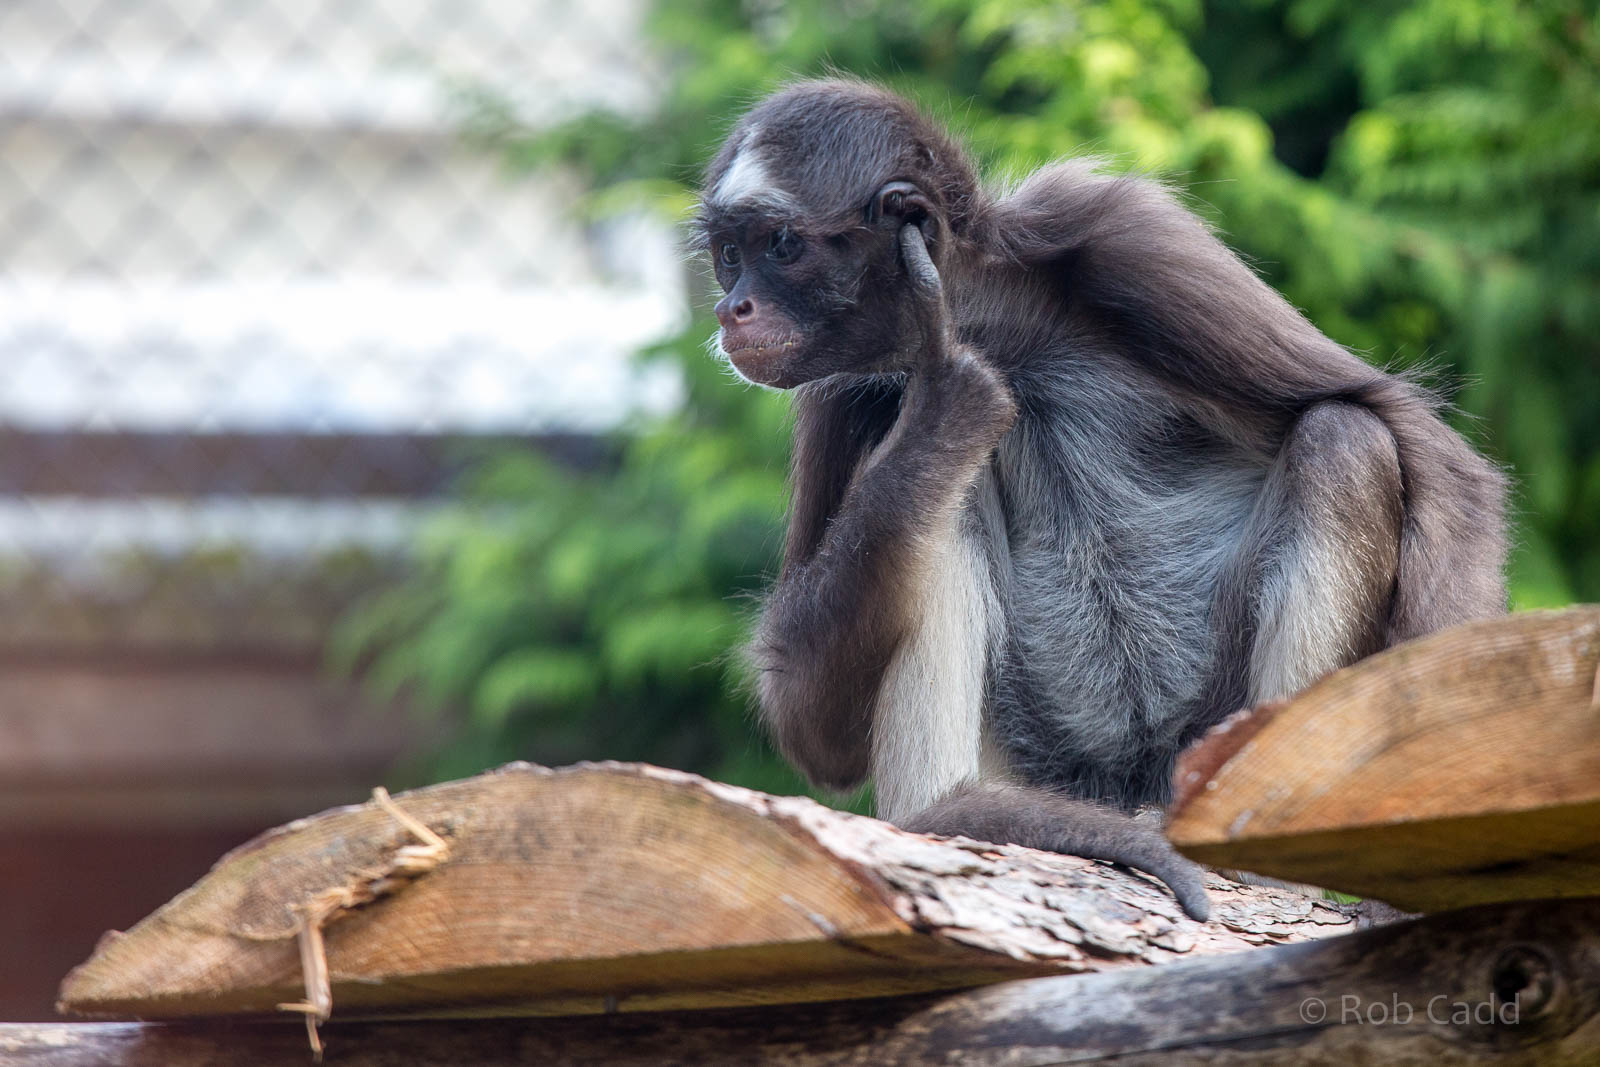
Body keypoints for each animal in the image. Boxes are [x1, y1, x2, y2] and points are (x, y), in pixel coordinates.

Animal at [694, 79, 1507, 921]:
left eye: (779, 246)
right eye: (729, 258)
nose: (732, 309)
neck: (990, 321)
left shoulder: (1121, 233)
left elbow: (1437, 457)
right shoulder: (837, 382)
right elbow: (812, 729)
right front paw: (950, 395)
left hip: (1203, 736)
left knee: (1345, 435)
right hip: (1036, 758)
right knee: (937, 489)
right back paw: (955, 812)